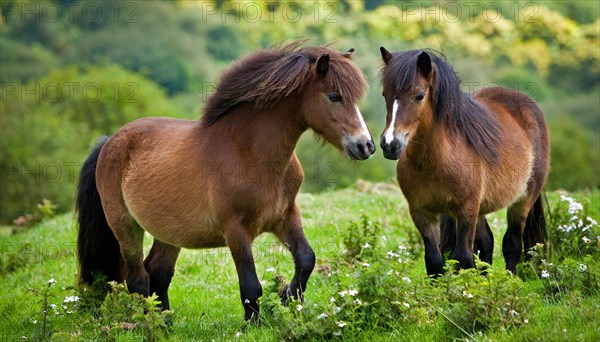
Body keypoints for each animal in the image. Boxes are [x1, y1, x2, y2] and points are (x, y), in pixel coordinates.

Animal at [380, 47, 548, 276]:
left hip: (523, 201)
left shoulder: (466, 209)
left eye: (419, 96)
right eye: (385, 94)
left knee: (512, 244)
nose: (390, 144)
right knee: (487, 242)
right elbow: (434, 261)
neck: (437, 161)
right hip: (481, 209)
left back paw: (510, 278)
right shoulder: (421, 212)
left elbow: (463, 257)